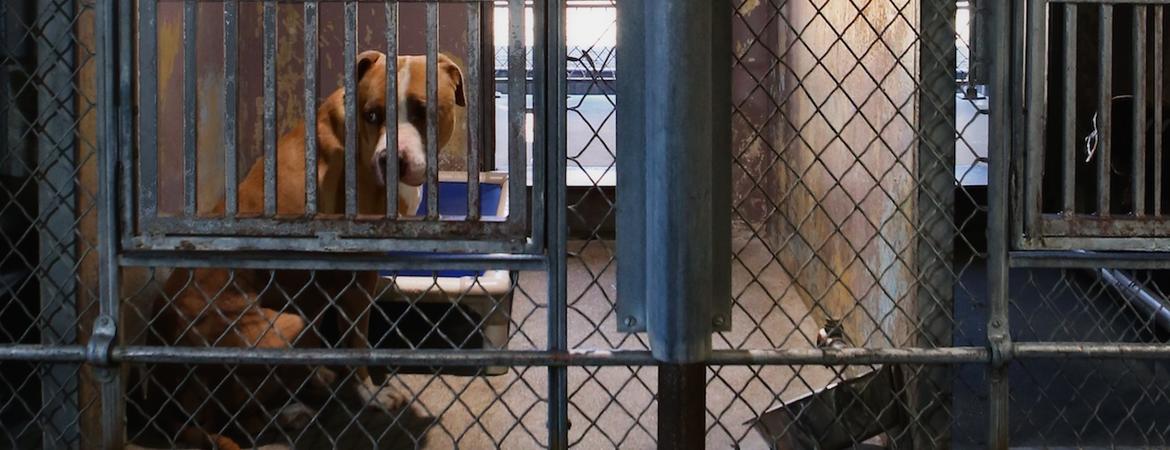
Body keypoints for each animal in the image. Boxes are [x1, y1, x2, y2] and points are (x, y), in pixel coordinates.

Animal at [148, 50, 467, 446]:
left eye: (423, 111)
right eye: (372, 115)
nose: (391, 160)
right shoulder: (354, 279)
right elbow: (356, 340)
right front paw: (371, 393)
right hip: (276, 329)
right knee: (232, 421)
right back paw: (289, 412)